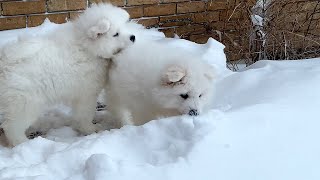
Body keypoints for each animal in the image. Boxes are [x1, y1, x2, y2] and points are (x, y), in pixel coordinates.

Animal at [0, 3, 136, 146]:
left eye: (124, 27)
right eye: (116, 34)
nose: (133, 37)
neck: (88, 49)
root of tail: (5, 61)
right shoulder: (87, 94)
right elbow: (85, 114)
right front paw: (90, 129)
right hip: (25, 103)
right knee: (12, 127)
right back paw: (24, 142)